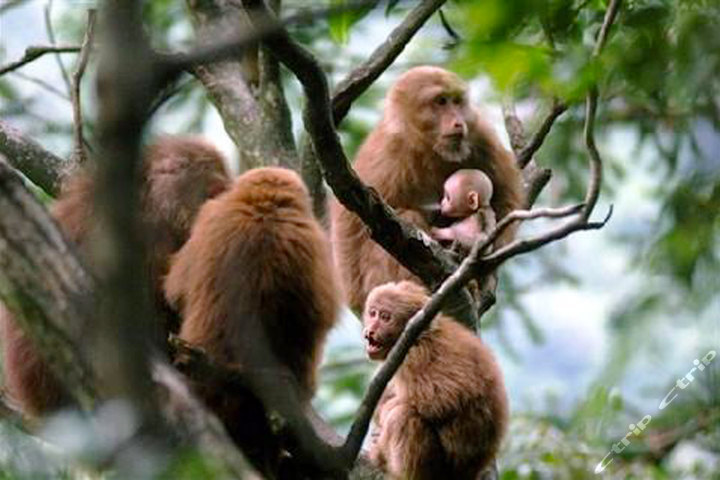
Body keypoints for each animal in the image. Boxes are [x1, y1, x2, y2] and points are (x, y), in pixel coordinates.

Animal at [330, 65, 524, 312]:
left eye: (456, 101)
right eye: (441, 102)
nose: (458, 122)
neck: (429, 148)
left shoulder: (480, 134)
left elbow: (505, 197)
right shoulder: (387, 153)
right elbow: (351, 225)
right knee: (404, 219)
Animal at [362, 282, 510, 480]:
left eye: (385, 317)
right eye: (372, 313)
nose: (371, 329)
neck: (422, 335)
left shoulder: (414, 355)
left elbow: (442, 399)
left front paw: (383, 418)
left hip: (438, 467)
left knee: (403, 415)